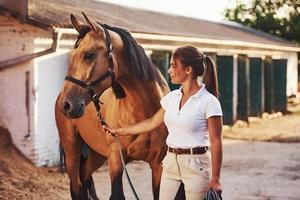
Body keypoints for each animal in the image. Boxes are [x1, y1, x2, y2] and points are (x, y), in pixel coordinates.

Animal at [55, 13, 171, 199]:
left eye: (88, 55)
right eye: (71, 56)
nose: (66, 105)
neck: (144, 114)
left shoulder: (159, 165)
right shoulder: (116, 159)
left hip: (96, 153)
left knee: (85, 177)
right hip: (72, 148)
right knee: (76, 186)